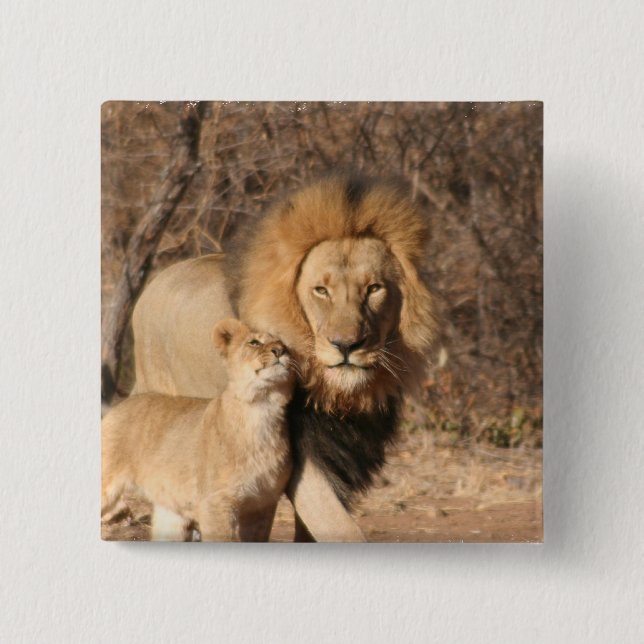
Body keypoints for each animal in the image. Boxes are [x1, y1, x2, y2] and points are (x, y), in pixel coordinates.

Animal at [102, 319, 294, 541]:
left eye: (285, 345)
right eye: (254, 342)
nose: (280, 351)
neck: (262, 408)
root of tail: (118, 406)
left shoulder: (262, 505)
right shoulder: (215, 504)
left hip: (171, 512)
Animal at [131, 175, 435, 541]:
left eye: (374, 289)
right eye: (321, 290)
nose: (347, 344)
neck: (340, 396)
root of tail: (151, 286)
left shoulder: (342, 457)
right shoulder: (301, 460)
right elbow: (340, 527)